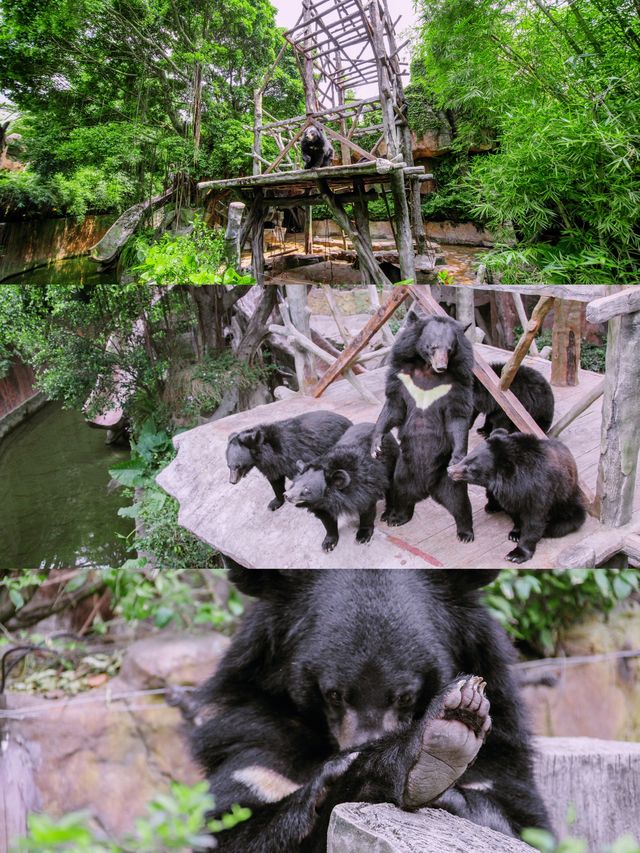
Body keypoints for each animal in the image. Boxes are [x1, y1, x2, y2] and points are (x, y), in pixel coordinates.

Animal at [189, 564, 552, 852]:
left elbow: (523, 826)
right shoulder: (259, 742)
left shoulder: (499, 754)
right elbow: (229, 828)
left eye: (405, 696)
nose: (363, 744)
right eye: (334, 694)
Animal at [284, 422, 398, 552]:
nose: (286, 495)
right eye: (294, 485)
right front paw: (328, 543)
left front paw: (362, 536)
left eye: (307, 489)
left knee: (391, 487)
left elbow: (367, 509)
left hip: (391, 459)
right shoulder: (321, 506)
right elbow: (327, 520)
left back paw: (387, 513)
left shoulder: (364, 487)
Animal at [370, 310, 476, 544]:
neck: (428, 371)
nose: (441, 366)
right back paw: (397, 518)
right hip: (403, 471)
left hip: (447, 478)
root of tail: (426, 488)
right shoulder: (401, 376)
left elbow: (457, 417)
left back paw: (465, 533)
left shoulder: (456, 383)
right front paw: (376, 446)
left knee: (460, 503)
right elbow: (394, 407)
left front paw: (458, 456)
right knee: (401, 494)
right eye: (432, 347)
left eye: (450, 349)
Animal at [448, 430, 588, 564]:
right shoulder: (511, 495)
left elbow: (534, 520)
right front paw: (515, 533)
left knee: (568, 520)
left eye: (470, 467)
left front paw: (516, 554)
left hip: (568, 501)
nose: (449, 470)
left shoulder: (540, 489)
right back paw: (491, 507)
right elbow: (515, 512)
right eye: (466, 457)